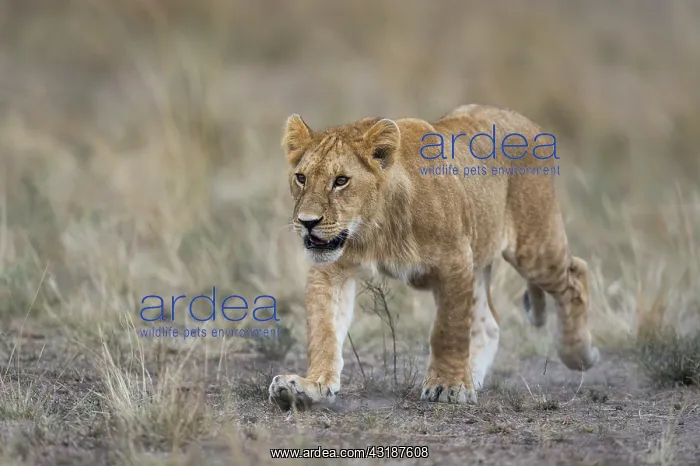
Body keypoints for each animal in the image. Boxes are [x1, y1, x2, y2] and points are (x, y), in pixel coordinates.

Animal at [268, 104, 599, 410]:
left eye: (340, 181)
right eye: (301, 178)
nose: (307, 222)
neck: (374, 229)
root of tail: (521, 117)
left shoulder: (454, 260)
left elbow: (448, 329)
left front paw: (448, 386)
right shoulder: (332, 268)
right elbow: (324, 329)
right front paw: (309, 386)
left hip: (534, 248)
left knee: (576, 273)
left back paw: (579, 354)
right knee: (488, 323)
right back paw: (473, 376)